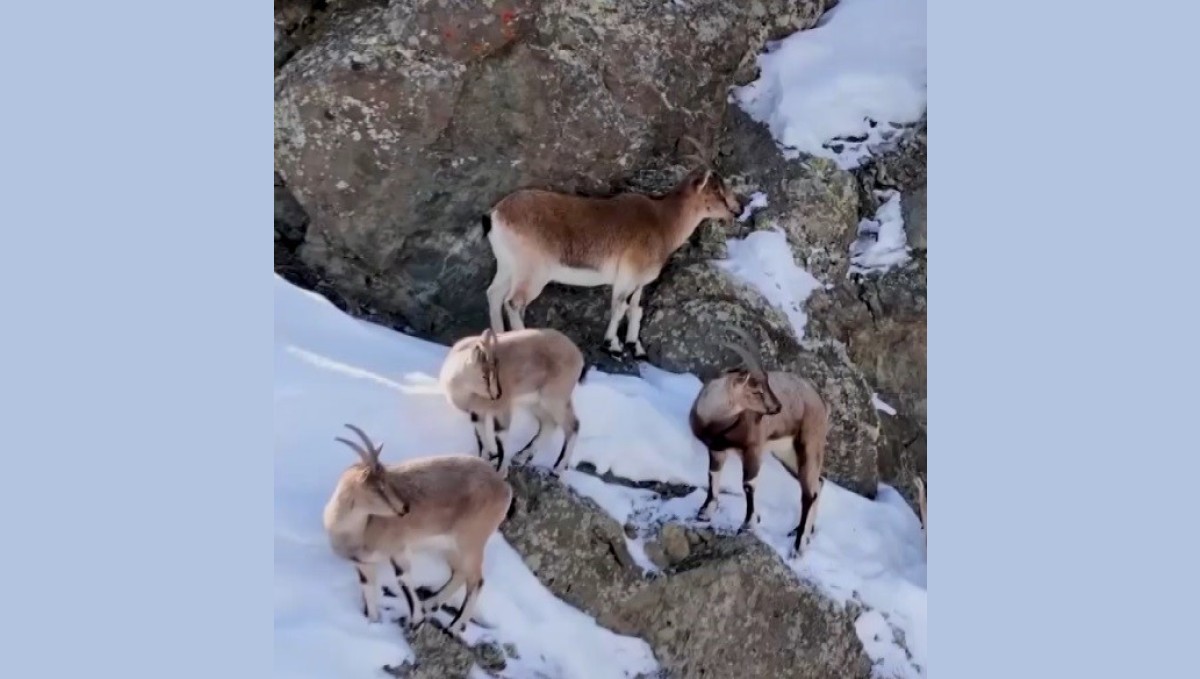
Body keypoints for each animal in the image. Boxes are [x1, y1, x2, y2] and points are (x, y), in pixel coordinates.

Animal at [319, 427, 511, 638]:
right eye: (378, 487)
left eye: (387, 480)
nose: (404, 508)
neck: (357, 529)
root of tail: (502, 484)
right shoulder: (363, 563)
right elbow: (368, 590)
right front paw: (373, 624)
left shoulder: (398, 550)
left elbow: (403, 580)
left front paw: (416, 623)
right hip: (450, 546)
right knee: (460, 573)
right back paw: (430, 603)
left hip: (471, 542)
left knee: (476, 580)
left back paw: (453, 627)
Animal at [441, 326, 590, 477]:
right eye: (485, 375)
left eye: (497, 371)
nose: (497, 394)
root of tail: (577, 355)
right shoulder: (476, 413)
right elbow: (481, 436)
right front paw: (484, 459)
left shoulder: (502, 409)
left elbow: (501, 437)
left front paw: (501, 470)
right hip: (536, 402)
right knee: (549, 424)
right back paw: (521, 456)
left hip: (555, 398)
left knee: (572, 425)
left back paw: (557, 468)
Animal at [477, 139, 739, 362]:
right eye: (717, 190)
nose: (737, 209)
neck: (663, 221)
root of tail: (495, 214)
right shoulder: (626, 276)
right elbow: (619, 307)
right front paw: (612, 346)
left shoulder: (639, 282)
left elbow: (635, 309)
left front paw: (635, 347)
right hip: (532, 272)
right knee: (513, 303)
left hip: (508, 267)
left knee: (494, 294)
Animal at [691, 331, 830, 559]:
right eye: (756, 390)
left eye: (767, 384)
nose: (777, 407)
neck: (717, 421)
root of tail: (820, 402)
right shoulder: (716, 449)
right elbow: (712, 476)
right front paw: (704, 512)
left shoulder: (752, 450)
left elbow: (749, 484)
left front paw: (748, 524)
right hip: (786, 454)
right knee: (818, 483)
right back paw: (805, 533)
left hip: (809, 445)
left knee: (808, 493)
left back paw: (798, 546)